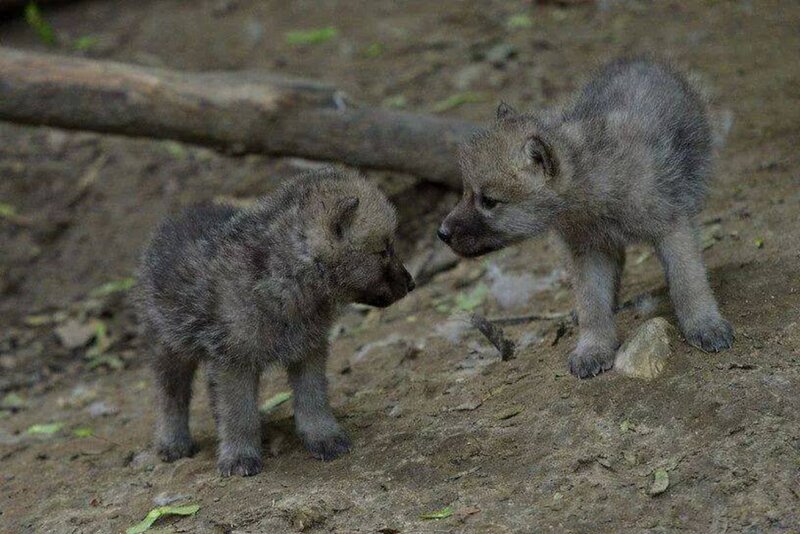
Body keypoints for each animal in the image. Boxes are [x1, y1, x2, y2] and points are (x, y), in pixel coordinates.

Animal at [136, 168, 415, 476]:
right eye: (384, 250)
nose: (411, 284)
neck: (287, 275)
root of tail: (173, 219)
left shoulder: (308, 349)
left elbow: (313, 397)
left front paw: (324, 437)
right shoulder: (234, 361)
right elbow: (238, 412)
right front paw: (239, 455)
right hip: (168, 344)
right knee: (171, 395)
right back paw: (173, 441)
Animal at [438, 58, 734, 378]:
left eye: (489, 201)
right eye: (466, 192)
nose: (442, 233)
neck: (589, 185)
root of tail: (643, 61)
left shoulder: (672, 226)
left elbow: (687, 281)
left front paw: (704, 324)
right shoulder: (588, 250)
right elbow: (592, 304)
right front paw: (593, 348)